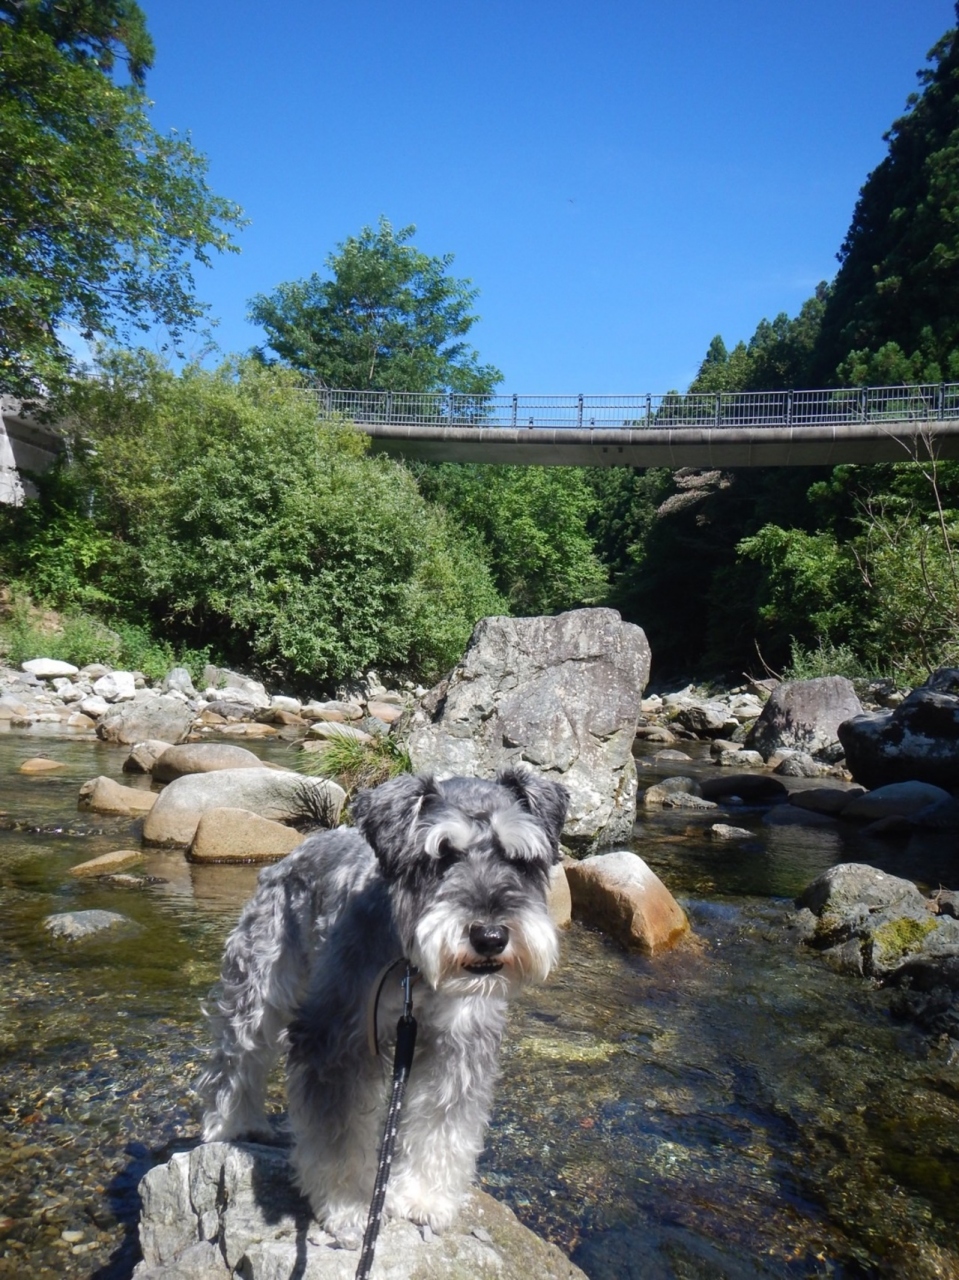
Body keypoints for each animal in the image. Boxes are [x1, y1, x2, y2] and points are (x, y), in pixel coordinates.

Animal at [197, 768, 565, 1239]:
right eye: (440, 857)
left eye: (520, 860)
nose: (490, 937)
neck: (412, 967)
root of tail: (295, 853)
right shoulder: (336, 1040)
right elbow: (337, 1138)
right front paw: (349, 1206)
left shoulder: (456, 1043)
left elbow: (442, 1123)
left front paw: (424, 1198)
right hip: (257, 988)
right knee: (238, 1058)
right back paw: (234, 1124)